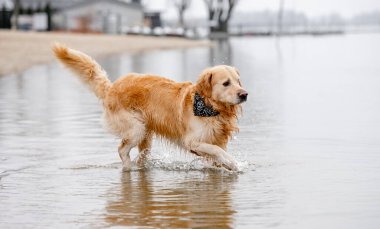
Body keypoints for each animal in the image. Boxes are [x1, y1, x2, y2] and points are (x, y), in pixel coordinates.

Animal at [52, 43, 248, 171]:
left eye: (238, 81)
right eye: (226, 83)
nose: (244, 94)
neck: (211, 108)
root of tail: (112, 87)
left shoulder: (218, 139)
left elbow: (216, 154)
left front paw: (224, 165)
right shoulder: (192, 141)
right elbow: (217, 151)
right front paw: (233, 163)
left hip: (146, 136)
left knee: (141, 156)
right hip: (136, 128)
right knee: (122, 150)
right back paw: (128, 168)